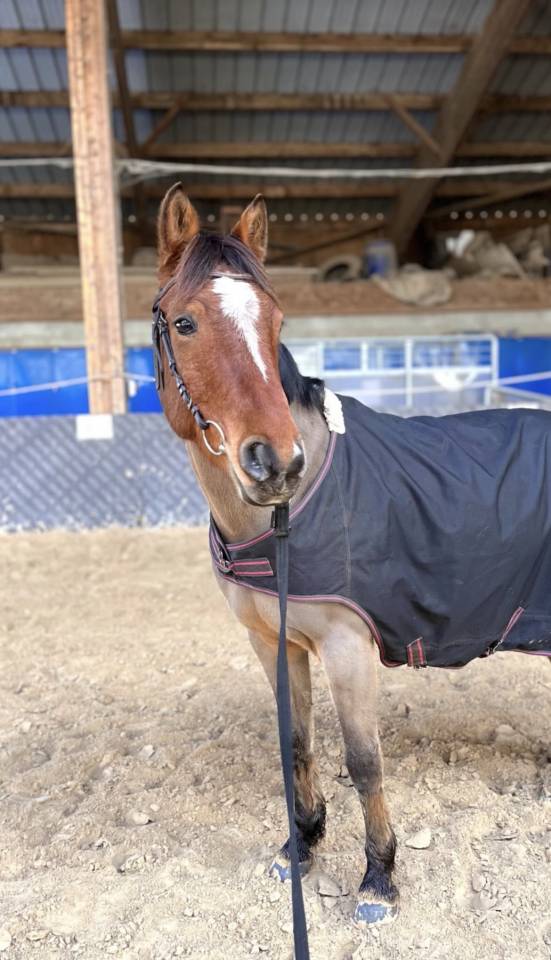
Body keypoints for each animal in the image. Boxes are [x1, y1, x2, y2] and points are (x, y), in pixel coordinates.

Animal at [153, 183, 551, 930]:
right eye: (185, 323)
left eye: (275, 320)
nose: (275, 462)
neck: (292, 507)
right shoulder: (272, 641)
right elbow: (297, 745)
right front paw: (300, 847)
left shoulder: (348, 645)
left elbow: (363, 760)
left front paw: (378, 879)